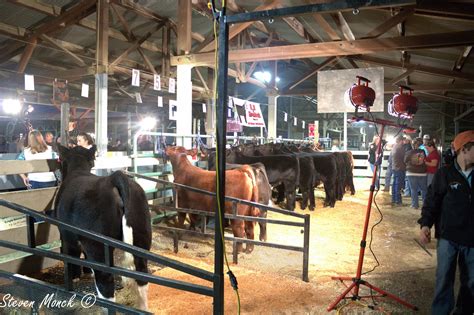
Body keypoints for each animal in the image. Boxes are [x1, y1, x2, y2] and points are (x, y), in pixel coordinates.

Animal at [54, 145, 151, 312]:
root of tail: (114, 177)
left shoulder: (66, 236)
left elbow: (71, 257)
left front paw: (75, 276)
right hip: (141, 236)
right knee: (142, 275)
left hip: (97, 246)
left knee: (105, 283)